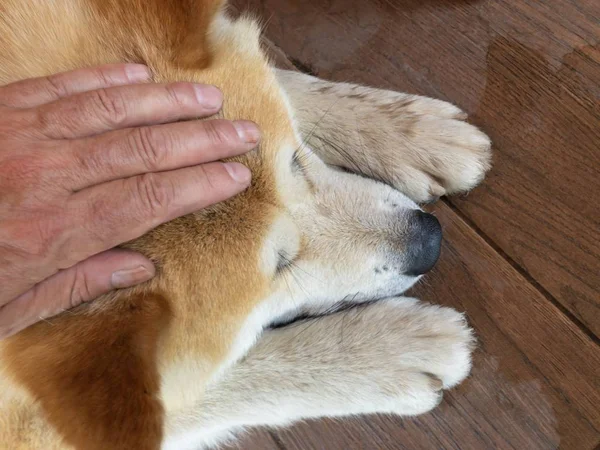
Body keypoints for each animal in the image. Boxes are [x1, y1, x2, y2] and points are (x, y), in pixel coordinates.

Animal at [0, 1, 490, 448]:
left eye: (296, 161)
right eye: (280, 268)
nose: (429, 242)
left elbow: (280, 79)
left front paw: (406, 130)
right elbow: (227, 382)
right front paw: (384, 351)